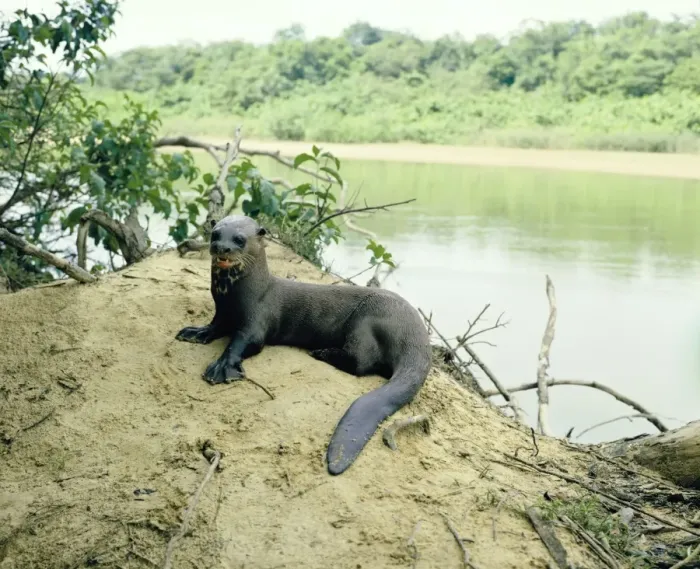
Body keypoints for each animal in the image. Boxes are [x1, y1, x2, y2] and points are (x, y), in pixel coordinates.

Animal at [175, 215, 431, 475]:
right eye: (215, 234)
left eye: (239, 239)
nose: (221, 248)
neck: (235, 297)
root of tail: (417, 336)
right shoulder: (223, 312)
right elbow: (215, 325)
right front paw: (197, 332)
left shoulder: (256, 321)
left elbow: (243, 343)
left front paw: (222, 367)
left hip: (367, 320)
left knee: (361, 363)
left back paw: (322, 353)